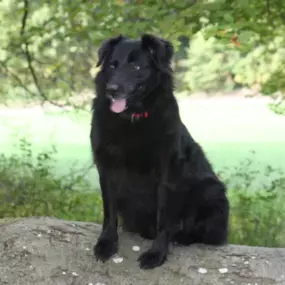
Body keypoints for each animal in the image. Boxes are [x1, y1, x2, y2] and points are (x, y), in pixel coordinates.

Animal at [90, 33, 227, 268]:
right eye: (112, 65)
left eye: (136, 66)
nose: (112, 90)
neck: (132, 119)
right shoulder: (107, 169)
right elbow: (109, 212)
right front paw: (107, 243)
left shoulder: (166, 175)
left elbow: (164, 217)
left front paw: (157, 252)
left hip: (210, 191)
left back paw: (181, 236)